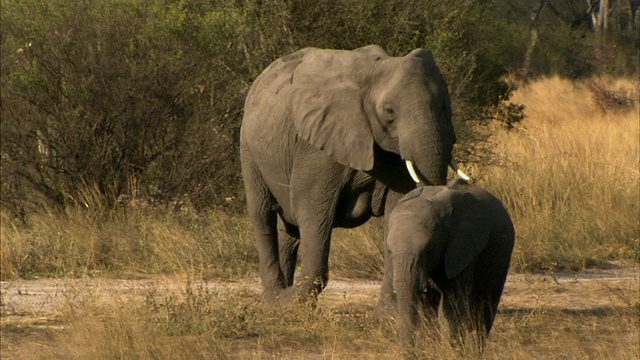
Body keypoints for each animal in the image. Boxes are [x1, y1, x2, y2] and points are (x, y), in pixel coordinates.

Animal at [239, 44, 460, 304]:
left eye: (445, 107)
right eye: (390, 112)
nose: (432, 294)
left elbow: (398, 207)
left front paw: (388, 312)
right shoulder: (316, 149)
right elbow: (313, 211)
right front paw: (288, 301)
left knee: (289, 229)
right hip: (249, 148)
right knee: (262, 214)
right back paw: (275, 300)